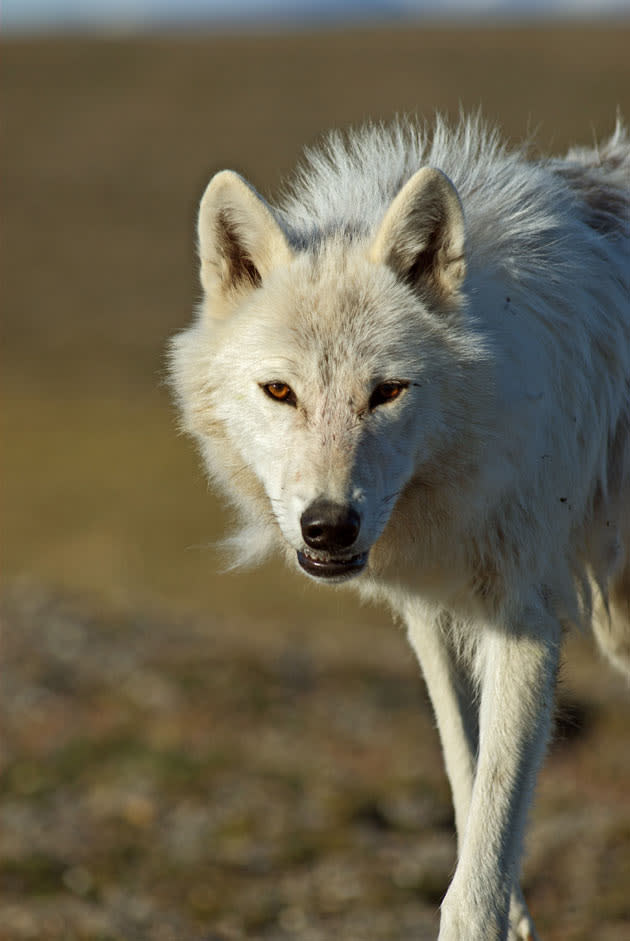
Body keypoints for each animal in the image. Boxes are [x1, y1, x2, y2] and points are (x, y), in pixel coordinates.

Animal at [169, 119, 630, 940]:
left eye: (387, 392)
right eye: (280, 391)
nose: (328, 526)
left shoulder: (526, 622)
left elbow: (478, 871)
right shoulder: (435, 617)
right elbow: (472, 793)